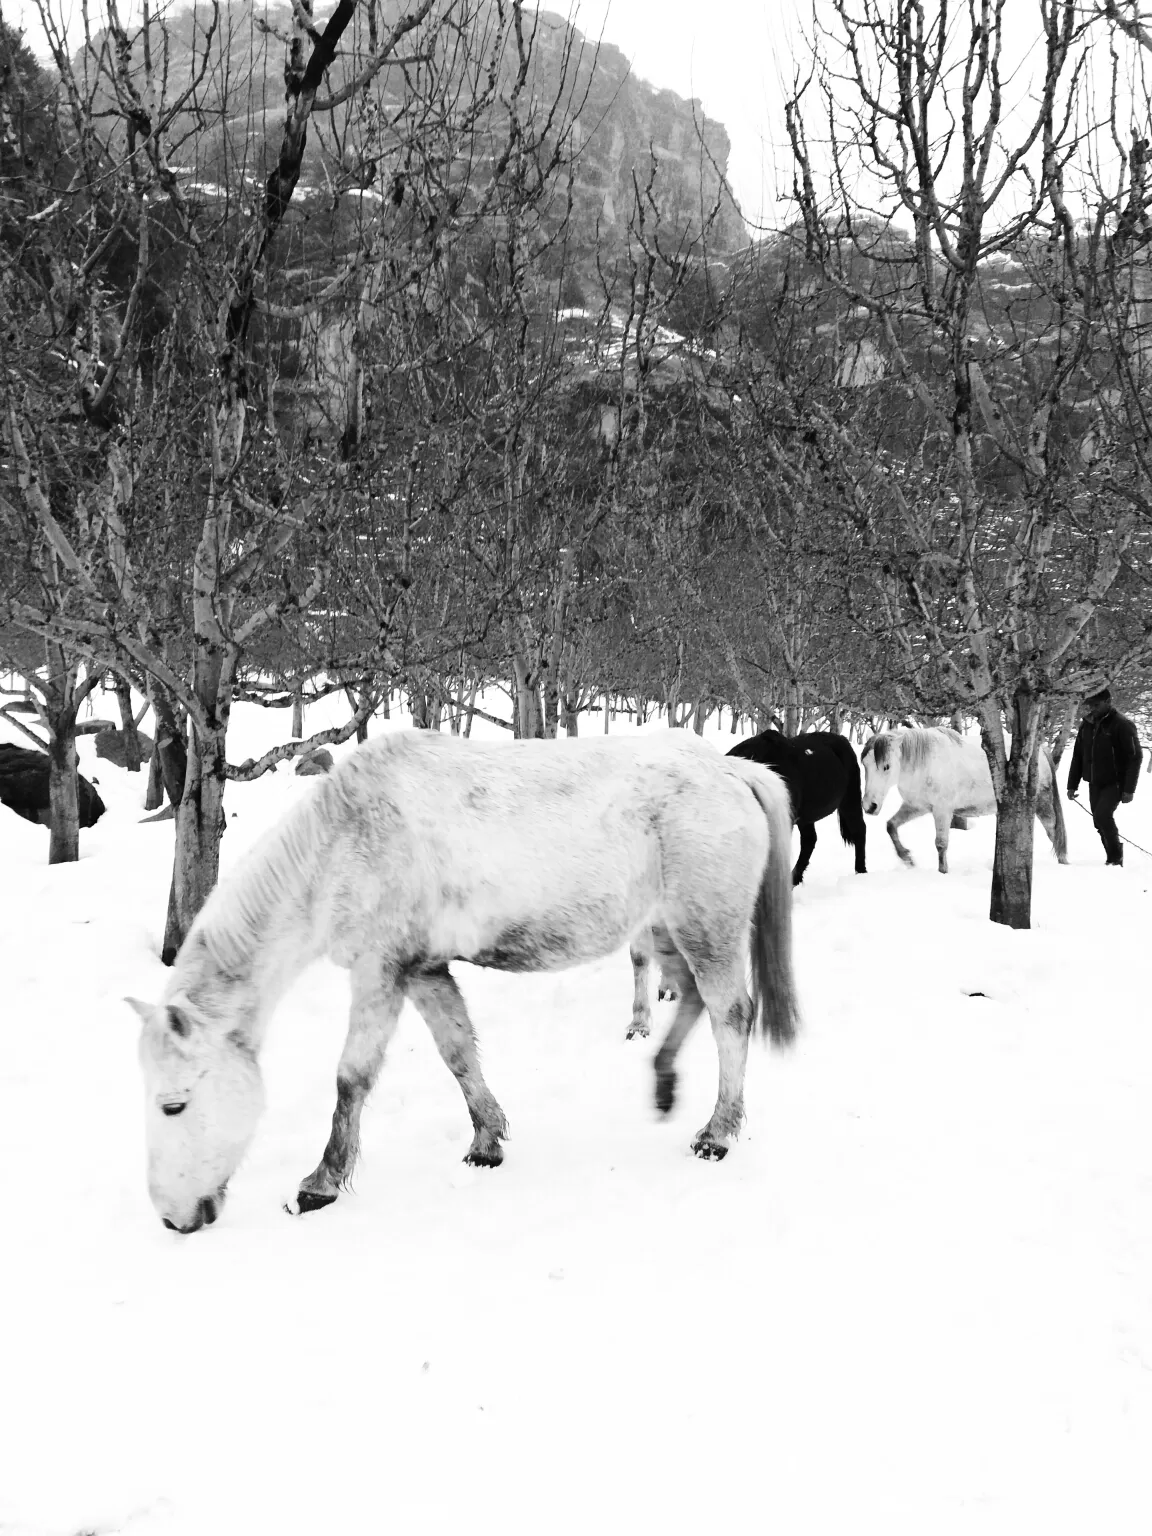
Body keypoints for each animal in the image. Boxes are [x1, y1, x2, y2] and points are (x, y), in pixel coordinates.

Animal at [132, 731, 804, 1234]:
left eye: (174, 1105)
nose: (170, 1218)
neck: (344, 842)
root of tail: (730, 769)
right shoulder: (422, 969)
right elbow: (458, 1052)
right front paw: (487, 1141)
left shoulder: (380, 971)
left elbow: (352, 1079)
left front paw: (320, 1183)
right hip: (671, 928)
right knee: (690, 999)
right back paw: (664, 1084)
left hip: (706, 929)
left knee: (730, 1015)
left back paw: (717, 1132)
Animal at [731, 731, 866, 890]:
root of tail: (843, 739)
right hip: (806, 817)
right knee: (810, 840)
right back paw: (794, 879)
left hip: (850, 800)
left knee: (859, 830)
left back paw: (861, 872)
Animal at [860, 724, 1069, 872]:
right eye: (864, 764)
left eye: (886, 766)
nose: (869, 806)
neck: (925, 763)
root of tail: (1040, 751)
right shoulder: (915, 806)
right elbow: (891, 826)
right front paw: (907, 858)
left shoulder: (942, 811)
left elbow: (941, 844)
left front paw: (942, 872)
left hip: (1042, 804)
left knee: (1053, 832)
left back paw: (1064, 863)